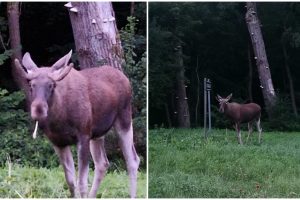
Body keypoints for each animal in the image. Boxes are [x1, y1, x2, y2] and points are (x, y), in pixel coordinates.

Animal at [13, 50, 140, 198]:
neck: (59, 120)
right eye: (31, 85)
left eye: (52, 85)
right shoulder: (58, 143)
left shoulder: (83, 136)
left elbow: (82, 183)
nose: (38, 109)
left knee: (132, 160)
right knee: (102, 163)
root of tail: (126, 79)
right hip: (97, 134)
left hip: (124, 119)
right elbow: (70, 182)